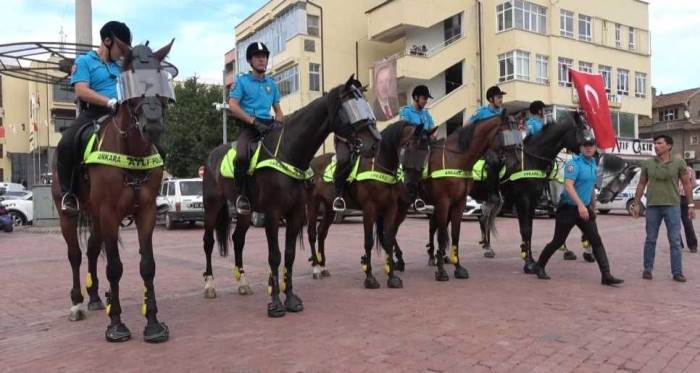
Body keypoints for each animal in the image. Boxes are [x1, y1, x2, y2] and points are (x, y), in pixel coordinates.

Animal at [51, 39, 175, 342]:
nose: (153, 124)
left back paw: (96, 297)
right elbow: (115, 268)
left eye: (160, 77)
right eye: (129, 78)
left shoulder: (145, 213)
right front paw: (116, 324)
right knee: (75, 254)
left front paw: (152, 323)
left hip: (95, 217)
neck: (132, 153)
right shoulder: (109, 214)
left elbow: (147, 265)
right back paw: (77, 303)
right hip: (69, 214)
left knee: (92, 250)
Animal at [306, 120, 416, 288]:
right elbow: (369, 241)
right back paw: (316, 269)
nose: (414, 177)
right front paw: (370, 278)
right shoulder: (370, 209)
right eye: (411, 144)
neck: (379, 165)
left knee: (322, 232)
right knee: (312, 233)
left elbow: (388, 239)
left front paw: (392, 277)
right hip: (313, 204)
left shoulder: (390, 208)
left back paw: (323, 267)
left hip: (330, 208)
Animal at [422, 112, 520, 280]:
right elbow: (481, 222)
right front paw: (441, 271)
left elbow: (460, 232)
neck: (456, 159)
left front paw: (459, 266)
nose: (515, 162)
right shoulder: (445, 201)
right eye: (505, 134)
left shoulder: (460, 203)